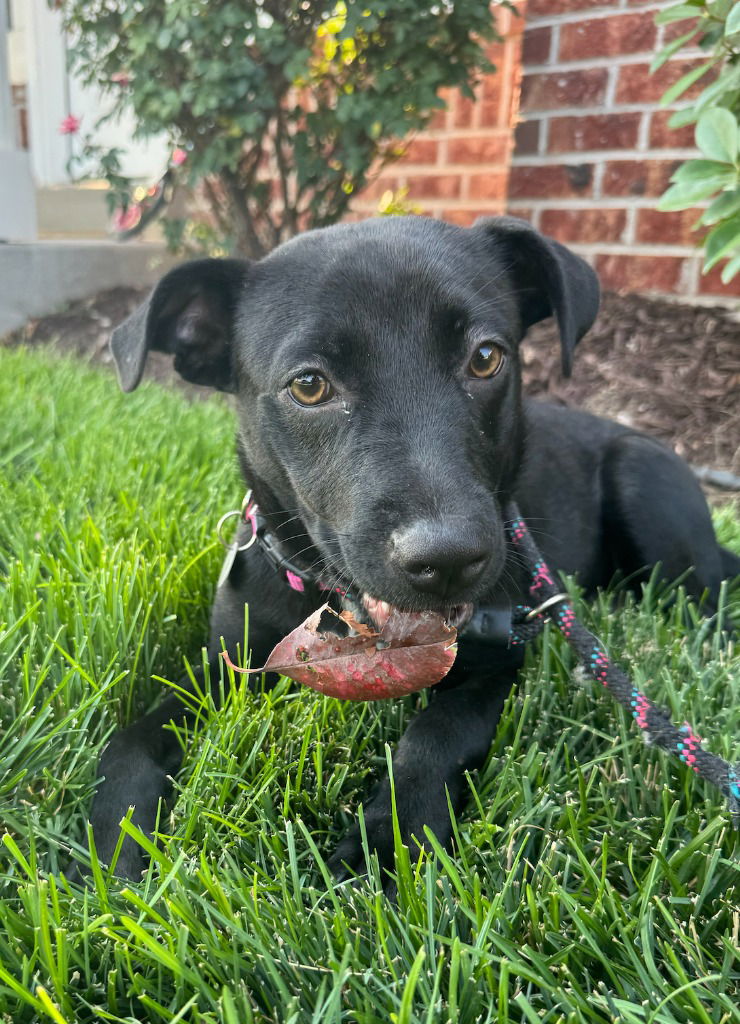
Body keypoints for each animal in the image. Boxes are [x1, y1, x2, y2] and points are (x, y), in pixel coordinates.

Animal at [89, 216, 736, 880]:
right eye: (309, 385)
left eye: (485, 358)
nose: (448, 559)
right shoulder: (228, 664)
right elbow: (134, 737)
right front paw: (113, 844)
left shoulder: (495, 662)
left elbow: (435, 735)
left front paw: (383, 846)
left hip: (644, 483)